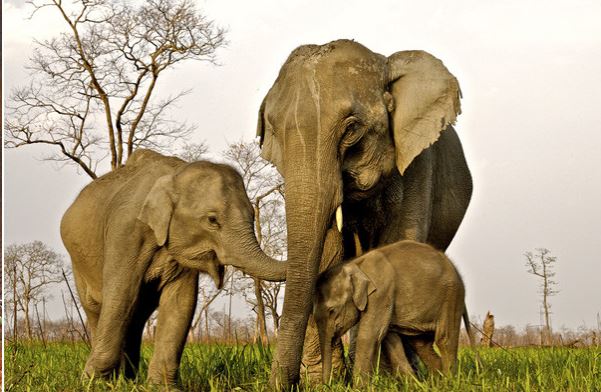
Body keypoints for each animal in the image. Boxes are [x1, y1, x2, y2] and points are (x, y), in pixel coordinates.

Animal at [314, 240, 474, 384]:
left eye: (332, 311)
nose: (327, 385)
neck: (356, 264)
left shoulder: (381, 293)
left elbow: (369, 335)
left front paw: (359, 387)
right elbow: (390, 338)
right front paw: (413, 386)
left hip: (451, 296)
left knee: (444, 339)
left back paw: (449, 383)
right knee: (421, 345)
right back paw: (437, 382)